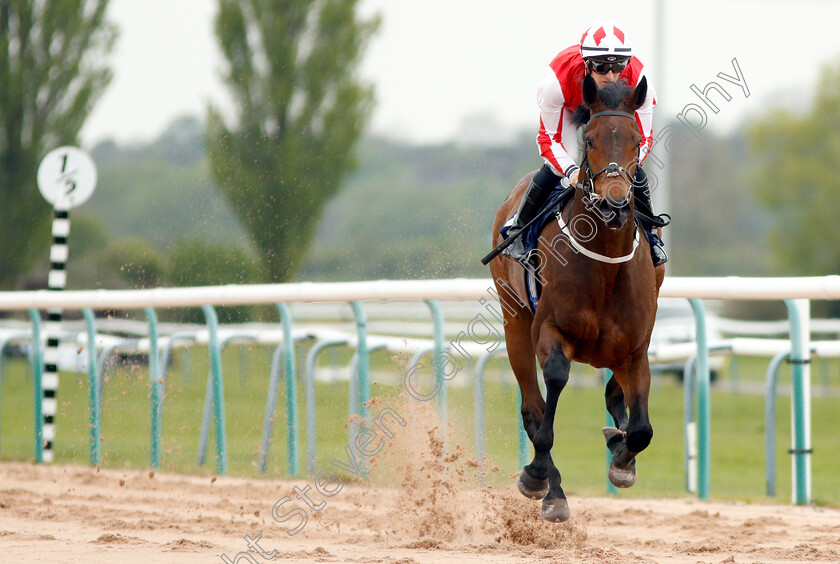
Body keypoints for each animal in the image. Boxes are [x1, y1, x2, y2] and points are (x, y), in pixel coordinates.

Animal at [488, 75, 668, 524]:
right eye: (588, 140)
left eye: (636, 140)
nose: (616, 201)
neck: (604, 266)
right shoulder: (551, 329)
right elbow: (552, 387)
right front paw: (537, 476)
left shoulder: (635, 349)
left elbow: (641, 429)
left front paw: (622, 459)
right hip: (514, 321)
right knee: (532, 408)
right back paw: (551, 489)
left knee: (615, 399)